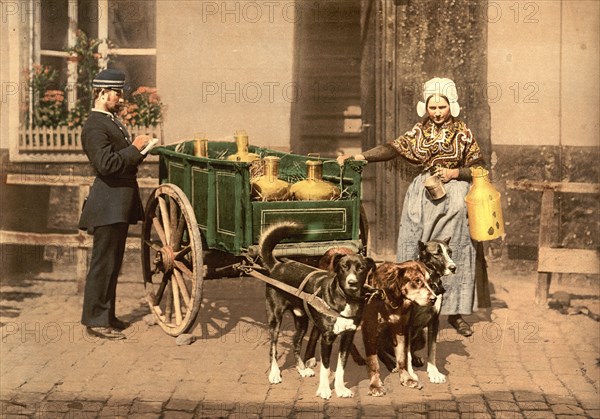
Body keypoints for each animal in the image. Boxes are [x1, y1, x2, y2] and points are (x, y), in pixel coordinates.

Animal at [258, 221, 376, 398]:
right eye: (343, 267)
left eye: (361, 268)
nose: (352, 283)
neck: (346, 299)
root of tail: (277, 266)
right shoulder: (327, 338)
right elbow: (325, 368)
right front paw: (325, 390)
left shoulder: (347, 337)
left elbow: (341, 367)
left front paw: (340, 389)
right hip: (275, 319)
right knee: (273, 347)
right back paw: (274, 373)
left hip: (302, 320)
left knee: (296, 342)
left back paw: (302, 369)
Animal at [376, 238, 454, 386]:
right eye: (437, 254)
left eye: (450, 252)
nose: (453, 267)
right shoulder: (407, 323)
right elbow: (406, 352)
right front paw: (410, 373)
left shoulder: (434, 321)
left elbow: (432, 349)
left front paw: (434, 372)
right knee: (380, 349)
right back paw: (391, 363)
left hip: (421, 336)